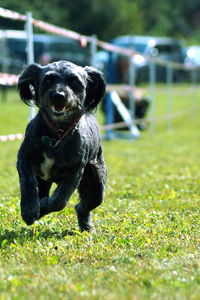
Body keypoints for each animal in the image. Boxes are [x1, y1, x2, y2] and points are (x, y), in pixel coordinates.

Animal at [16, 59, 107, 231]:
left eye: (74, 81)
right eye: (48, 80)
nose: (58, 95)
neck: (56, 134)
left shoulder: (75, 171)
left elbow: (59, 200)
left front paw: (44, 206)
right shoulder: (25, 160)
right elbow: (28, 185)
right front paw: (29, 211)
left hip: (96, 183)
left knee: (83, 205)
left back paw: (87, 227)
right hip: (44, 181)